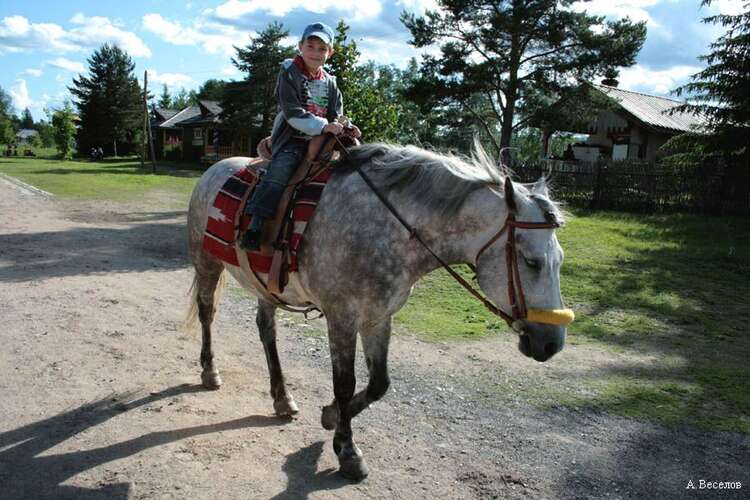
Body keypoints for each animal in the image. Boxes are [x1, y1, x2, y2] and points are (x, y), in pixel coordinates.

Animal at [185, 141, 572, 480]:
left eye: (560, 260)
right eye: (532, 261)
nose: (552, 343)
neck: (391, 229)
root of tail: (216, 167)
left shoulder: (379, 316)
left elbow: (379, 383)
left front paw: (330, 416)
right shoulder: (342, 317)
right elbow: (345, 383)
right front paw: (347, 451)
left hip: (267, 286)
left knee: (267, 330)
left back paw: (283, 398)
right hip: (207, 262)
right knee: (207, 314)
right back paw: (210, 372)